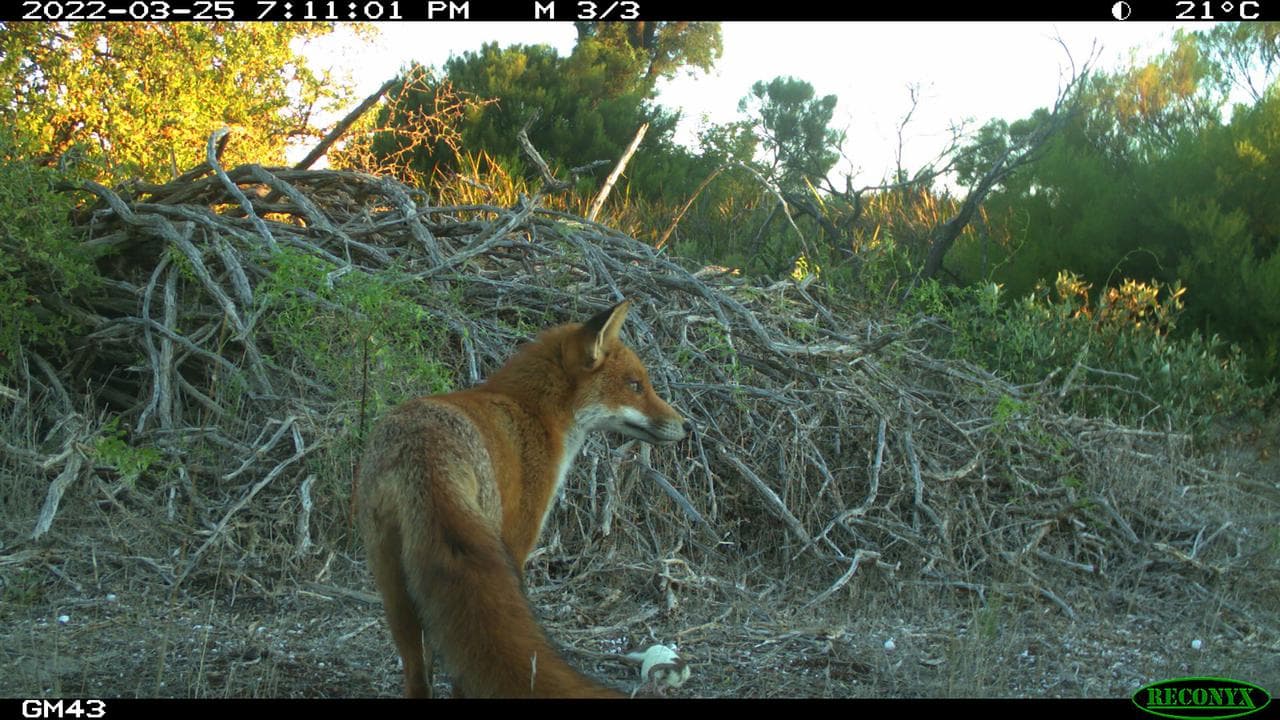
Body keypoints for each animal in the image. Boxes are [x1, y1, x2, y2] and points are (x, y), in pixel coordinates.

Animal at [355, 300, 689, 698]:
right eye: (635, 386)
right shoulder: (517, 541)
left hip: (393, 587)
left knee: (420, 673)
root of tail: (423, 452)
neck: (533, 412)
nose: (687, 426)